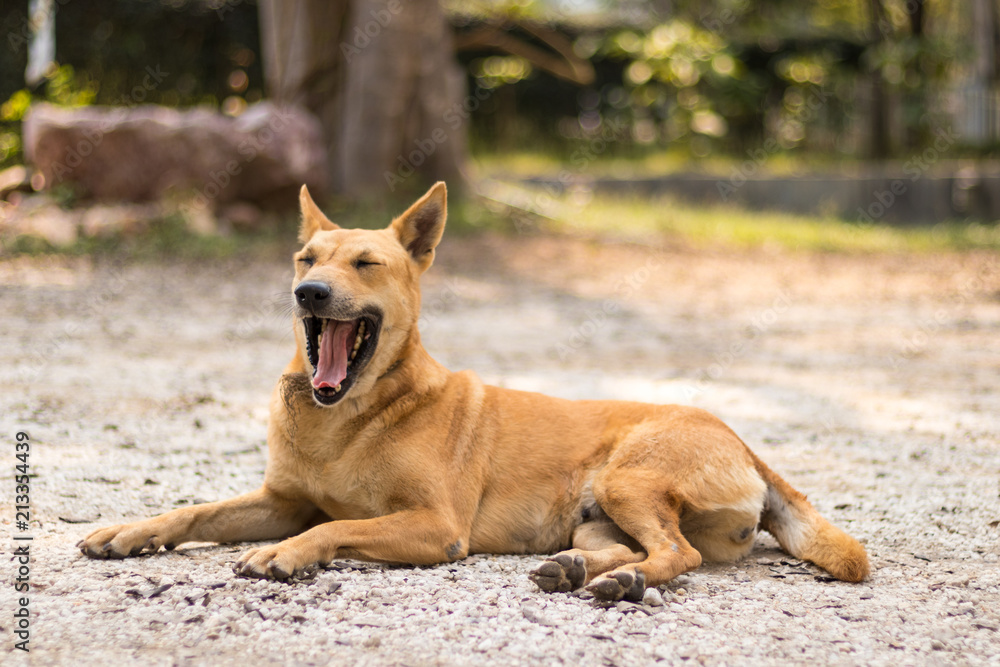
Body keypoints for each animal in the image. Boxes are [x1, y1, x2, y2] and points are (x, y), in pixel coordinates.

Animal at [80, 185, 868, 604]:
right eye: (306, 260)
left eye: (365, 263)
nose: (310, 293)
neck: (352, 414)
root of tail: (746, 445)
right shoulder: (280, 500)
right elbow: (195, 509)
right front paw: (130, 530)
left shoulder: (435, 525)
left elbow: (331, 528)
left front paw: (290, 554)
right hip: (595, 517)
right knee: (626, 548)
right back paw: (582, 570)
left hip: (630, 478)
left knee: (678, 555)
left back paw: (618, 585)